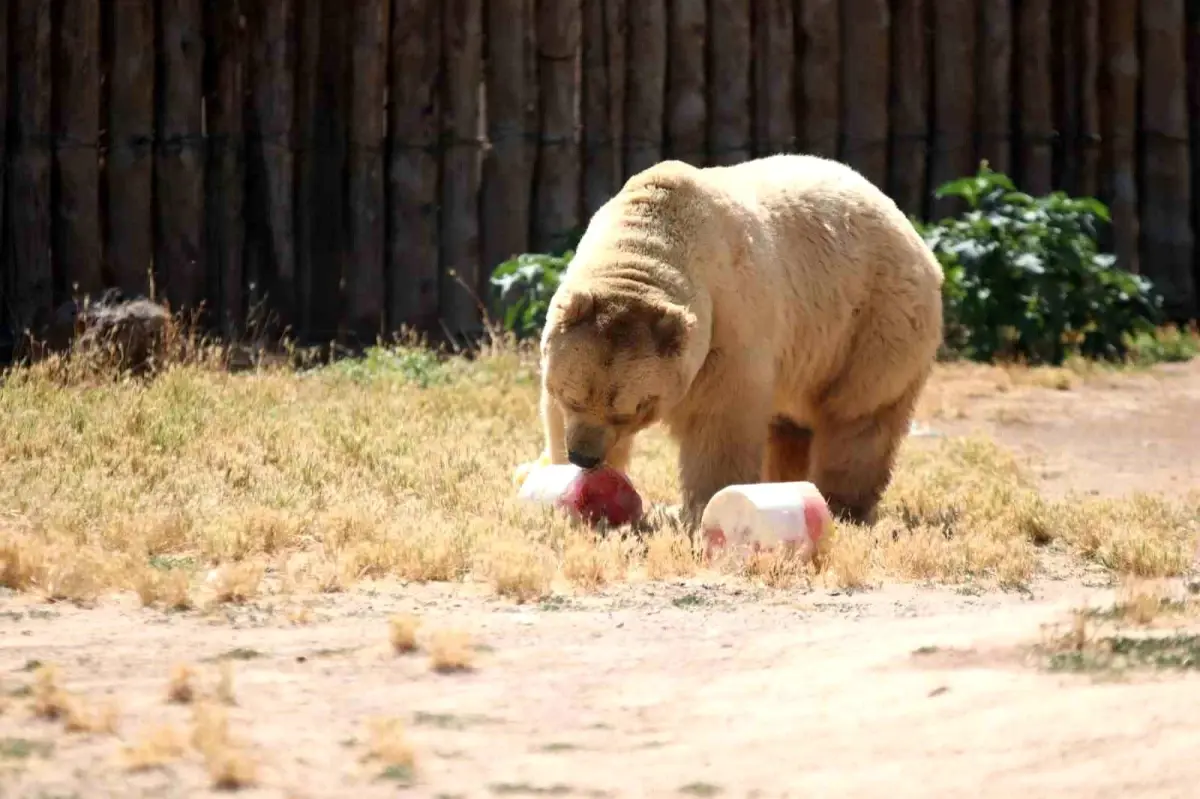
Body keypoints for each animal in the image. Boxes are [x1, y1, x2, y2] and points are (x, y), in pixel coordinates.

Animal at [516, 153, 945, 527]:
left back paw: (841, 503)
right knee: (790, 427)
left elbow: (720, 419)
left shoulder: (730, 321)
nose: (584, 457)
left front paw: (704, 505)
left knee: (860, 418)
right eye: (570, 395)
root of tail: (916, 236)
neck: (648, 239)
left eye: (631, 410)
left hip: (872, 323)